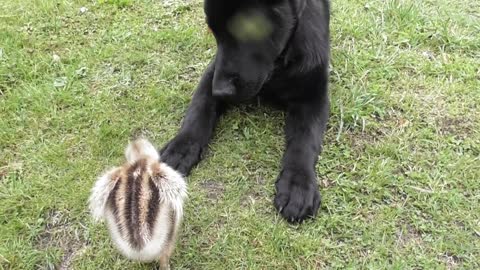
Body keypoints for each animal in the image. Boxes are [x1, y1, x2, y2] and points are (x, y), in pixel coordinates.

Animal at [161, 0, 330, 223]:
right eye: (213, 31)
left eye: (248, 30)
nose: (220, 91)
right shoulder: (211, 74)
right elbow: (198, 110)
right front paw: (181, 147)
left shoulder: (313, 96)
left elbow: (304, 140)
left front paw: (297, 184)